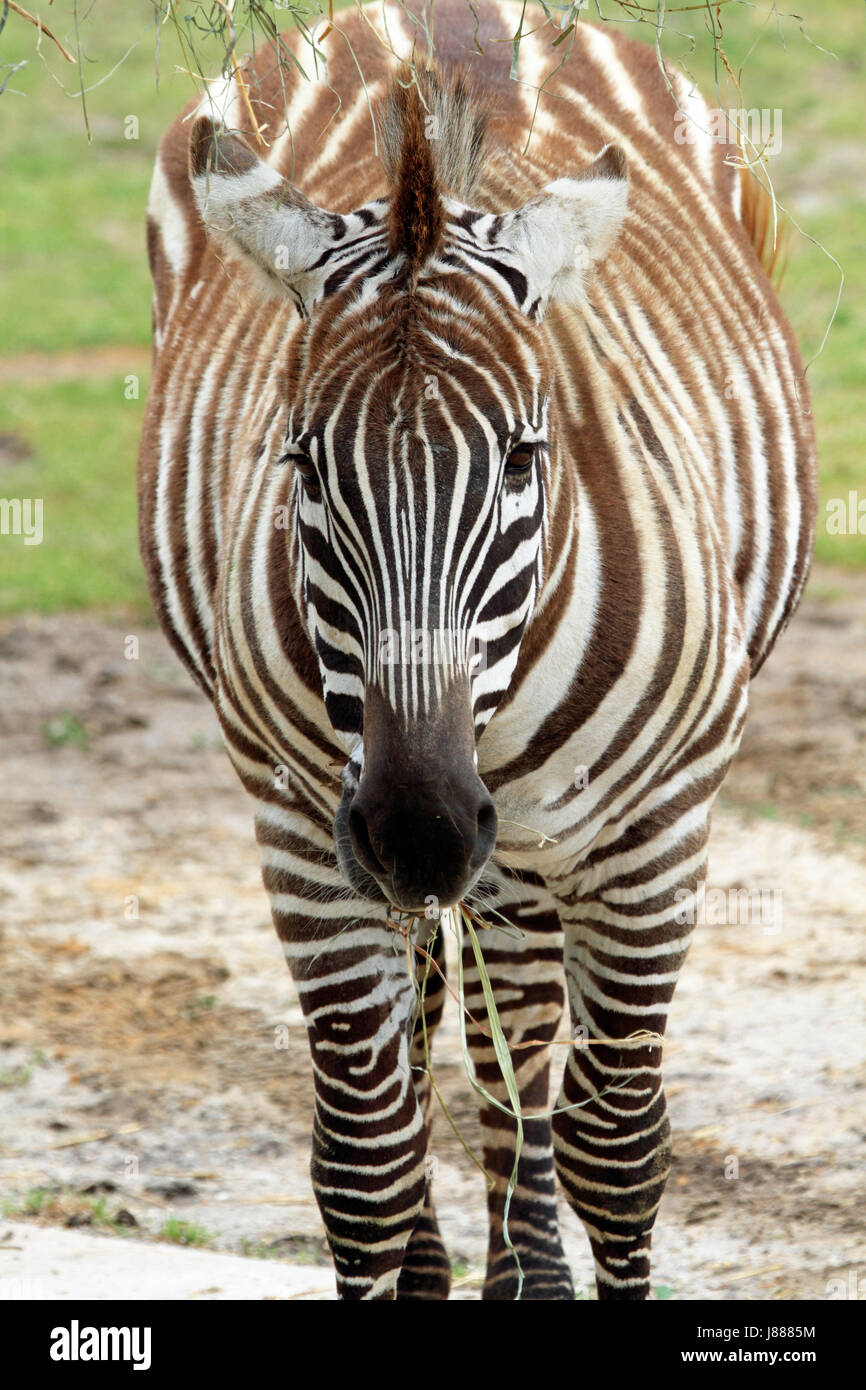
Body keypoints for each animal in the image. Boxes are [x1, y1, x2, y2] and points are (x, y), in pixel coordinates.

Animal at [138, 0, 816, 1300]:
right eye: (302, 463)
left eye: (520, 458)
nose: (420, 830)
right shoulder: (303, 821)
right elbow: (363, 1158)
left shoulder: (658, 823)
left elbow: (613, 1142)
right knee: (458, 1043)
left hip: (543, 840)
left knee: (524, 1057)